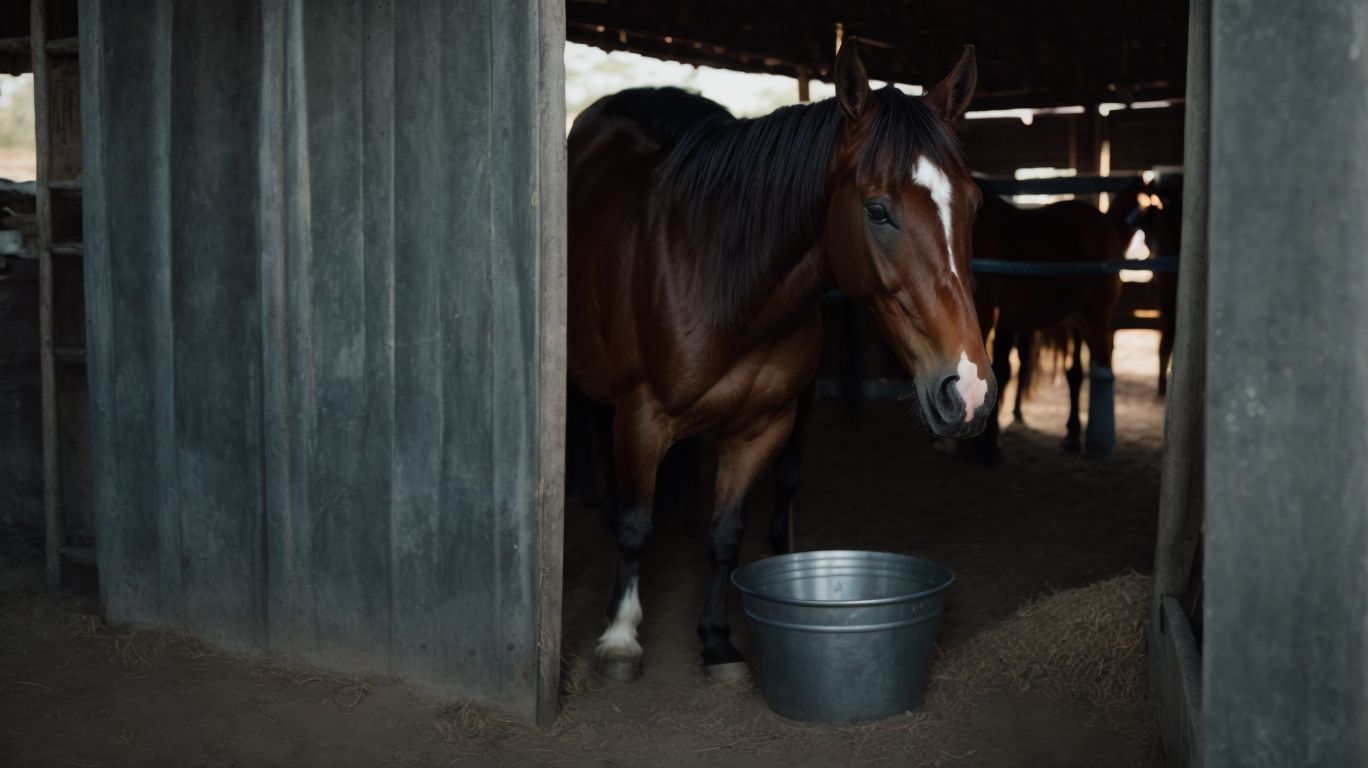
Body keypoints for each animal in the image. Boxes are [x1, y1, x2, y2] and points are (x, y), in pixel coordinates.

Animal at [566, 40, 997, 682]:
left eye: (973, 204)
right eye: (877, 210)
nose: (967, 389)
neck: (723, 284)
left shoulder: (760, 428)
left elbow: (726, 534)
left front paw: (716, 640)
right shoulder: (640, 417)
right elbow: (636, 528)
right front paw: (620, 637)